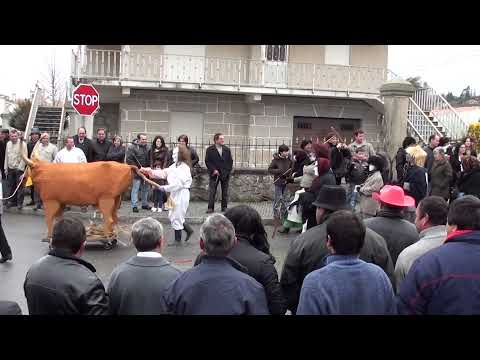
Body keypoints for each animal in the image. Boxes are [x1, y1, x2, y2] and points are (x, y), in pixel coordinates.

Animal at [21, 143, 160, 242]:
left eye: (28, 168)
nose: (22, 178)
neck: (44, 171)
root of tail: (127, 166)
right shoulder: (61, 202)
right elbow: (58, 218)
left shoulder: (50, 201)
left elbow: (49, 219)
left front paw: (48, 237)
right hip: (116, 199)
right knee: (114, 218)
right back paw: (110, 236)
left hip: (106, 200)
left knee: (109, 219)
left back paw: (106, 238)